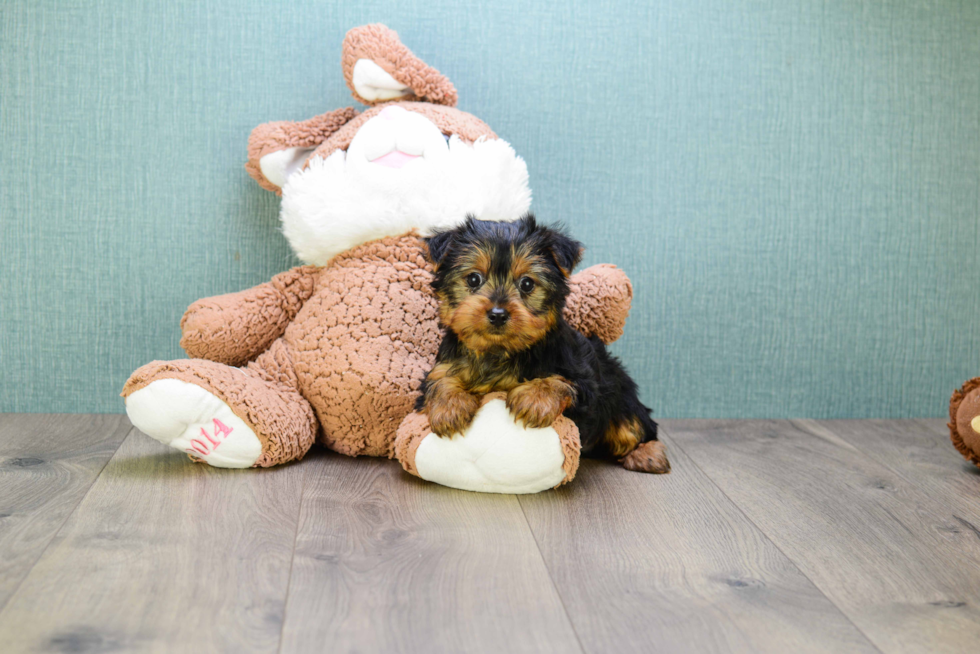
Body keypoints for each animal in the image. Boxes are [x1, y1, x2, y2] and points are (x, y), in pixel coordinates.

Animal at [418, 215, 668, 476]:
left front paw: (535, 399)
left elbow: (562, 382)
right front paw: (450, 407)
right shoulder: (444, 365)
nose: (498, 314)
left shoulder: (585, 381)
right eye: (473, 279)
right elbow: (440, 379)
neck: (499, 352)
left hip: (620, 396)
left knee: (636, 425)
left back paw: (647, 454)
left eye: (527, 284)